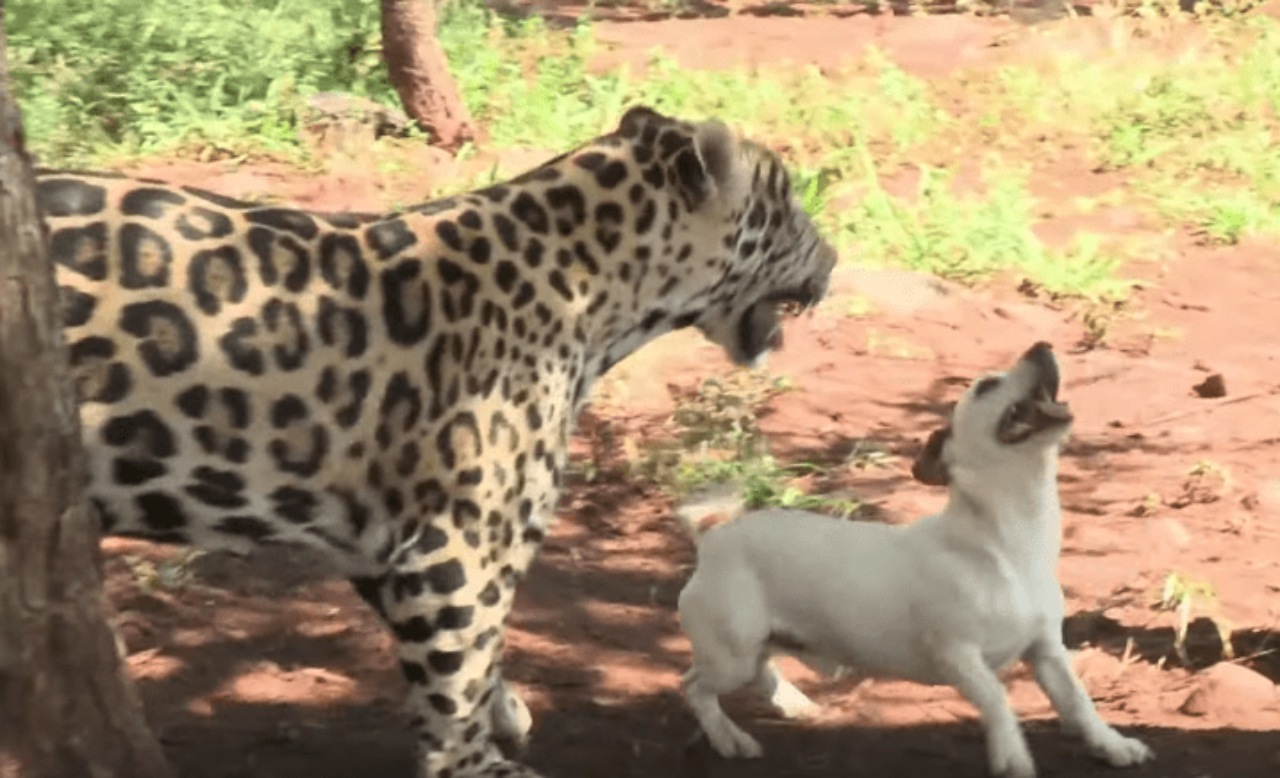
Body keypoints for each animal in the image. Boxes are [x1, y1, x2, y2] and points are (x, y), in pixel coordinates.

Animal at [675, 342, 1157, 772]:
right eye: (986, 385)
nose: (1042, 345)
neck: (1009, 545)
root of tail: (715, 535)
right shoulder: (956, 654)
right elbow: (997, 696)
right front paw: (1011, 753)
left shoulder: (1047, 652)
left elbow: (1078, 701)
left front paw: (1112, 745)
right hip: (731, 653)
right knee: (695, 688)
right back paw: (730, 738)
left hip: (757, 643)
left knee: (760, 670)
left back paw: (791, 703)